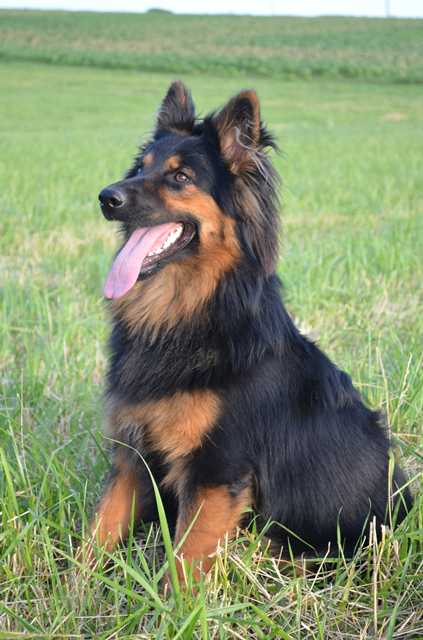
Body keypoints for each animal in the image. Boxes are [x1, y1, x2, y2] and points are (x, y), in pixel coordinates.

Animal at [92, 81, 412, 580]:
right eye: (140, 167)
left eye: (180, 177)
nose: (107, 197)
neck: (186, 315)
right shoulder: (132, 457)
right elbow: (97, 532)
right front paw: (72, 581)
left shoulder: (217, 472)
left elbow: (184, 562)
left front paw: (172, 600)